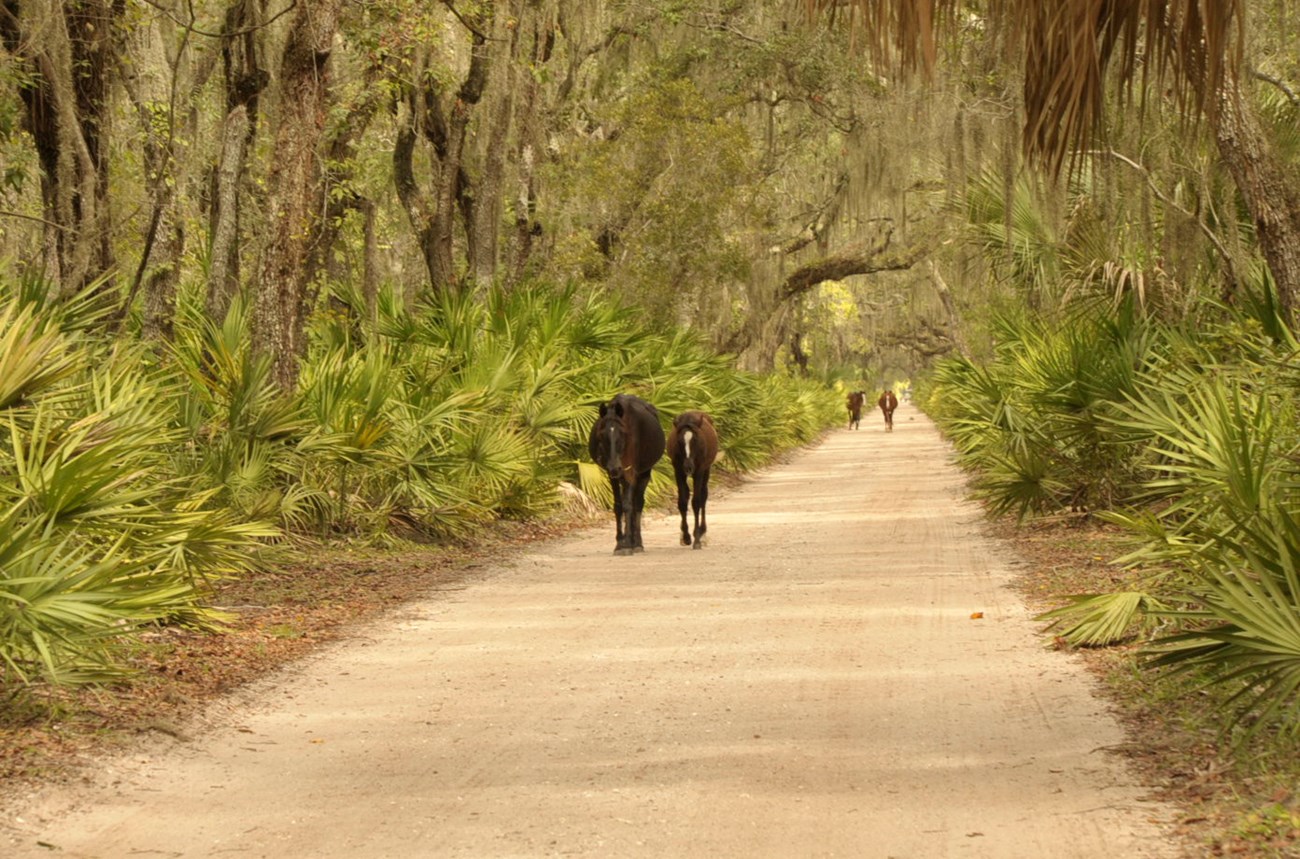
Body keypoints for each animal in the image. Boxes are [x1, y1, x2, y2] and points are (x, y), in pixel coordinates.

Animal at [592, 392, 665, 553]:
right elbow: (619, 505)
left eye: (622, 433)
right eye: (601, 435)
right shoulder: (612, 475)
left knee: (637, 503)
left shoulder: (631, 472)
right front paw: (620, 542)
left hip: (643, 472)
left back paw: (637, 542)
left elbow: (628, 505)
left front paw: (627, 544)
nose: (615, 467)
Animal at [670, 410, 722, 548]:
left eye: (696, 440)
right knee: (687, 494)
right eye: (679, 441)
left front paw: (697, 539)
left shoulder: (699, 471)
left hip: (706, 470)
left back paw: (702, 533)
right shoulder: (678, 471)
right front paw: (686, 536)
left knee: (703, 496)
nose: (688, 467)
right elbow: (682, 502)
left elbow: (696, 502)